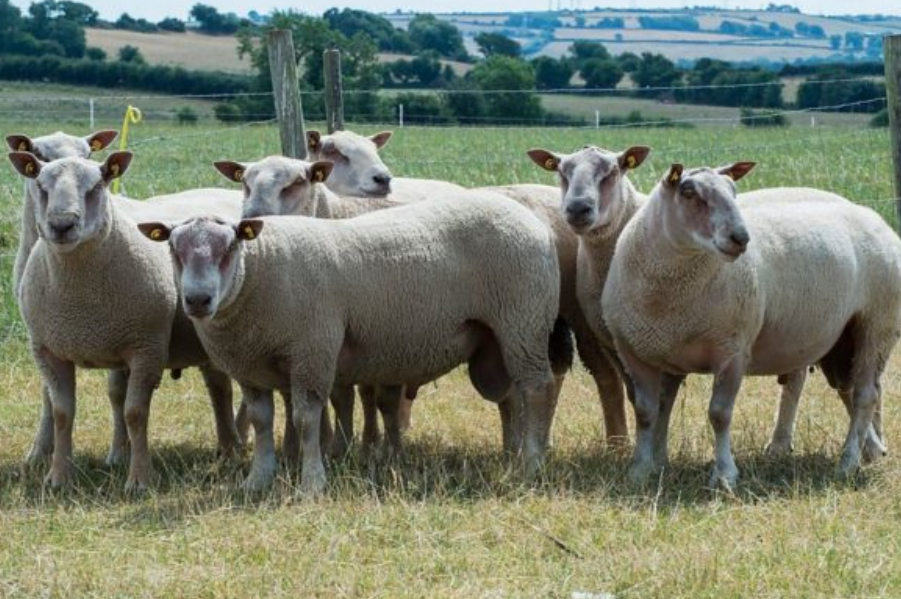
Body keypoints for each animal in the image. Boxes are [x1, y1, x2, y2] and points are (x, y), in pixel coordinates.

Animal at [139, 188, 564, 496]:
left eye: (229, 248)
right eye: (173, 249)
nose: (197, 300)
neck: (259, 272)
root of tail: (538, 224)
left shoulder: (313, 350)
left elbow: (305, 419)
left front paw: (312, 483)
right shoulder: (249, 367)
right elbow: (261, 422)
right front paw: (257, 479)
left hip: (523, 321)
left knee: (537, 387)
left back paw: (532, 463)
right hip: (500, 338)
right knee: (513, 395)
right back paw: (514, 453)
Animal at [596, 162, 900, 490]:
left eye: (733, 190)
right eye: (688, 192)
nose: (741, 237)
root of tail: (876, 218)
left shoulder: (732, 349)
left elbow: (719, 414)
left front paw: (724, 474)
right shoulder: (637, 352)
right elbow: (646, 412)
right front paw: (640, 470)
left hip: (878, 323)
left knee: (865, 395)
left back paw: (848, 462)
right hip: (840, 337)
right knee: (846, 388)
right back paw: (867, 450)